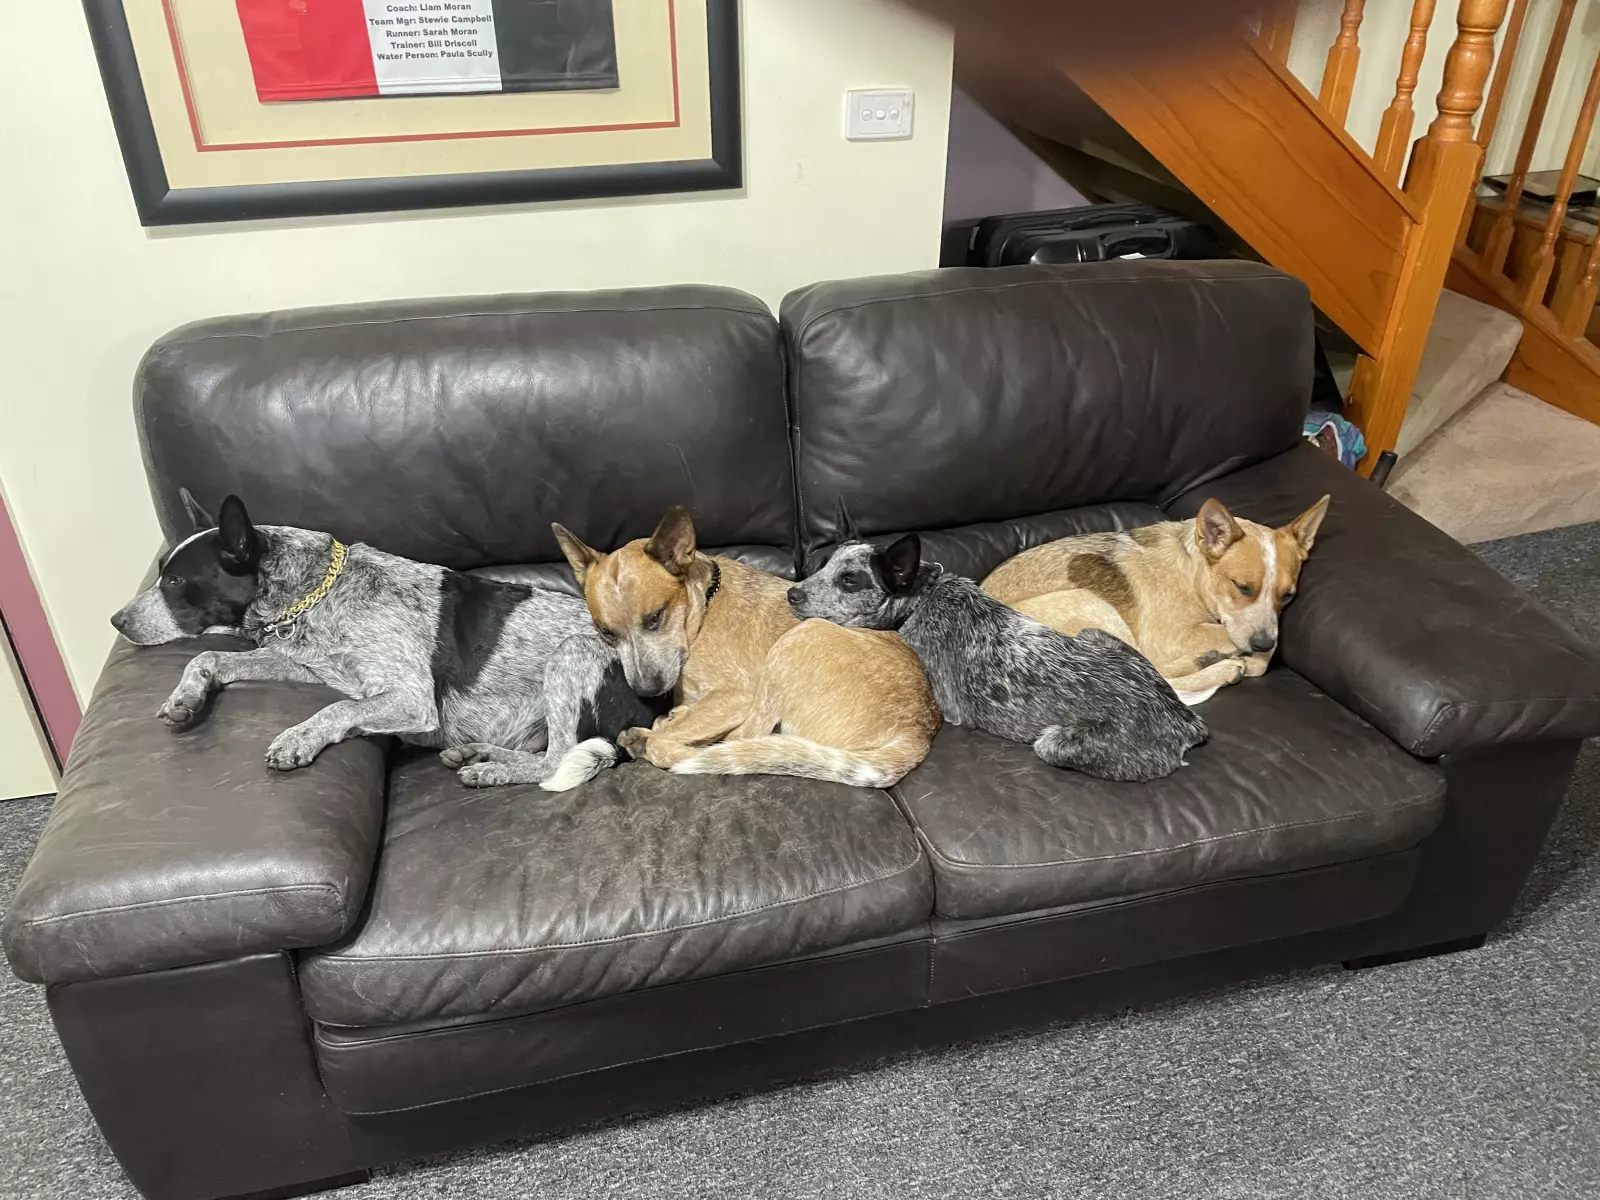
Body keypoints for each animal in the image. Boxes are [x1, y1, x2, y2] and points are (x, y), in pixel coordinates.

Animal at [110, 490, 659, 790]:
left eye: (175, 581)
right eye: (160, 574)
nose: (115, 621)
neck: (314, 591)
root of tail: (651, 709)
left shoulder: (411, 699)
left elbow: (337, 709)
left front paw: (297, 739)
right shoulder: (305, 665)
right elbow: (209, 655)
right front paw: (186, 697)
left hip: (570, 656)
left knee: (555, 760)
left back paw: (491, 771)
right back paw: (477, 754)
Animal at [551, 506, 939, 787]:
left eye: (655, 617)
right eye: (606, 633)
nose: (646, 691)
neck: (703, 605)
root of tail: (917, 733)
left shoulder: (738, 695)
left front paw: (662, 729)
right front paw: (674, 714)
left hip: (796, 643)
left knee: (737, 740)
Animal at [787, 533, 1208, 782]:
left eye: (848, 580)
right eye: (822, 565)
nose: (792, 593)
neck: (924, 597)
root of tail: (1186, 722)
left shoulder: (950, 708)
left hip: (1051, 742)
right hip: (1094, 636)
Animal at [981, 496, 1330, 703]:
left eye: (1288, 595)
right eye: (1242, 587)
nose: (1262, 642)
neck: (1192, 572)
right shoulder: (1167, 637)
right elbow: (1243, 646)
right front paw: (1245, 656)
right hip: (1089, 604)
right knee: (1159, 676)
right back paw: (1221, 665)